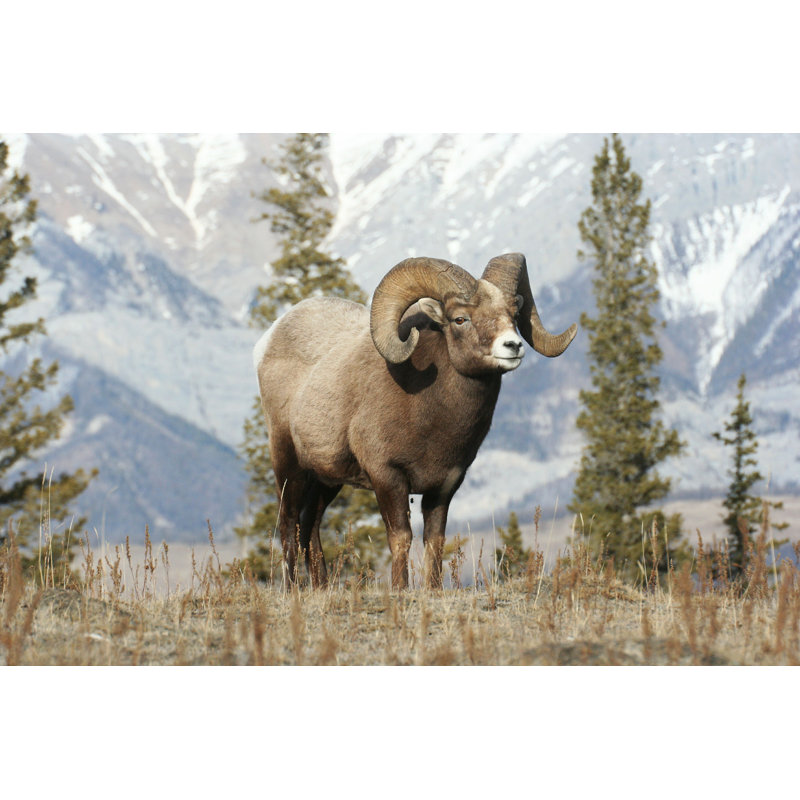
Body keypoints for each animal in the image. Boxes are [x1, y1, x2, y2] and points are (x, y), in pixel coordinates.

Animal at [254, 252, 577, 590]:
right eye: (460, 319)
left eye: (514, 313)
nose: (513, 346)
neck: (431, 417)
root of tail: (266, 344)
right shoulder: (388, 477)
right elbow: (401, 539)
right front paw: (399, 589)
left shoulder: (444, 487)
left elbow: (434, 542)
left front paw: (432, 590)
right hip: (288, 464)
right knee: (289, 524)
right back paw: (293, 589)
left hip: (326, 479)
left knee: (310, 526)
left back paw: (321, 587)